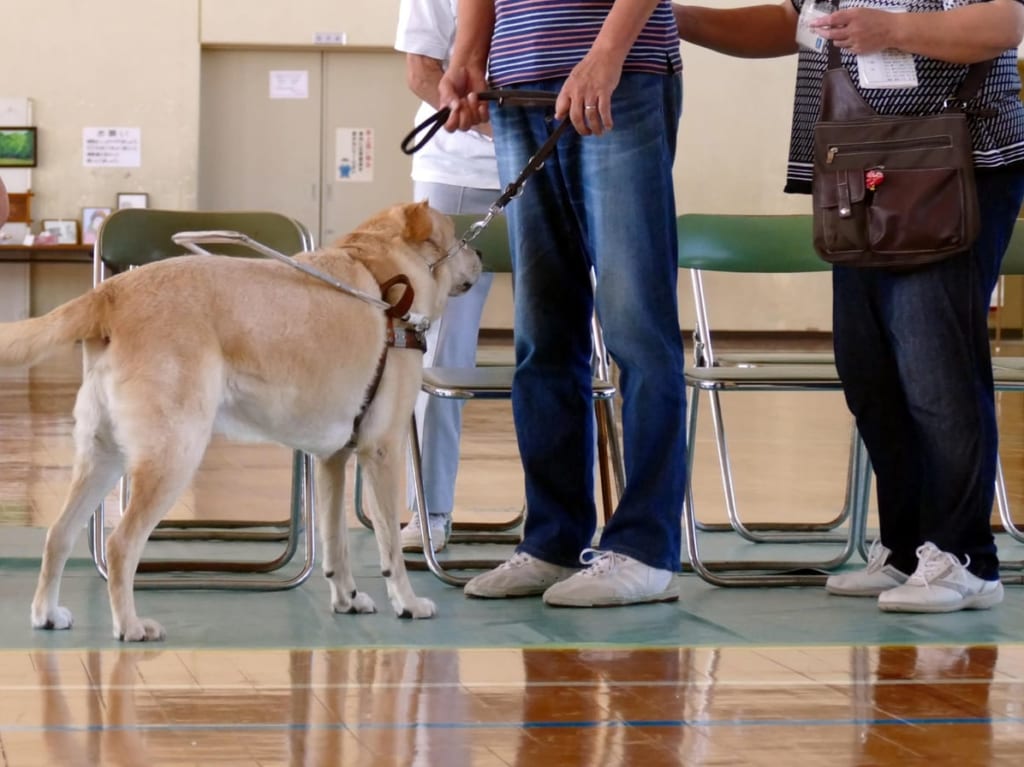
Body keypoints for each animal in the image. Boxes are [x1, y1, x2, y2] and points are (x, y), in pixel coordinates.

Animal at [0, 201, 479, 638]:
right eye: (458, 237)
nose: (478, 253)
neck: (383, 278)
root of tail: (112, 292)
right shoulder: (382, 450)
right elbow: (390, 546)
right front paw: (407, 602)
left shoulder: (331, 460)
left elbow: (335, 542)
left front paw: (347, 598)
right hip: (173, 454)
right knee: (120, 545)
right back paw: (130, 626)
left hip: (103, 455)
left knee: (58, 534)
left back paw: (47, 614)